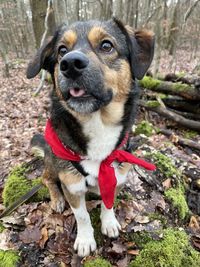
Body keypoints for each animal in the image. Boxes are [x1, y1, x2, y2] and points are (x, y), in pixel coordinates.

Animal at [27, 18, 155, 258]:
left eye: (106, 45)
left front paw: (109, 222)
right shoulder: (72, 186)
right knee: (47, 179)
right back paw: (57, 199)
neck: (98, 125)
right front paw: (86, 240)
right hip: (52, 160)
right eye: (62, 50)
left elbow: (108, 203)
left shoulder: (116, 177)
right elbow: (82, 216)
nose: (70, 63)